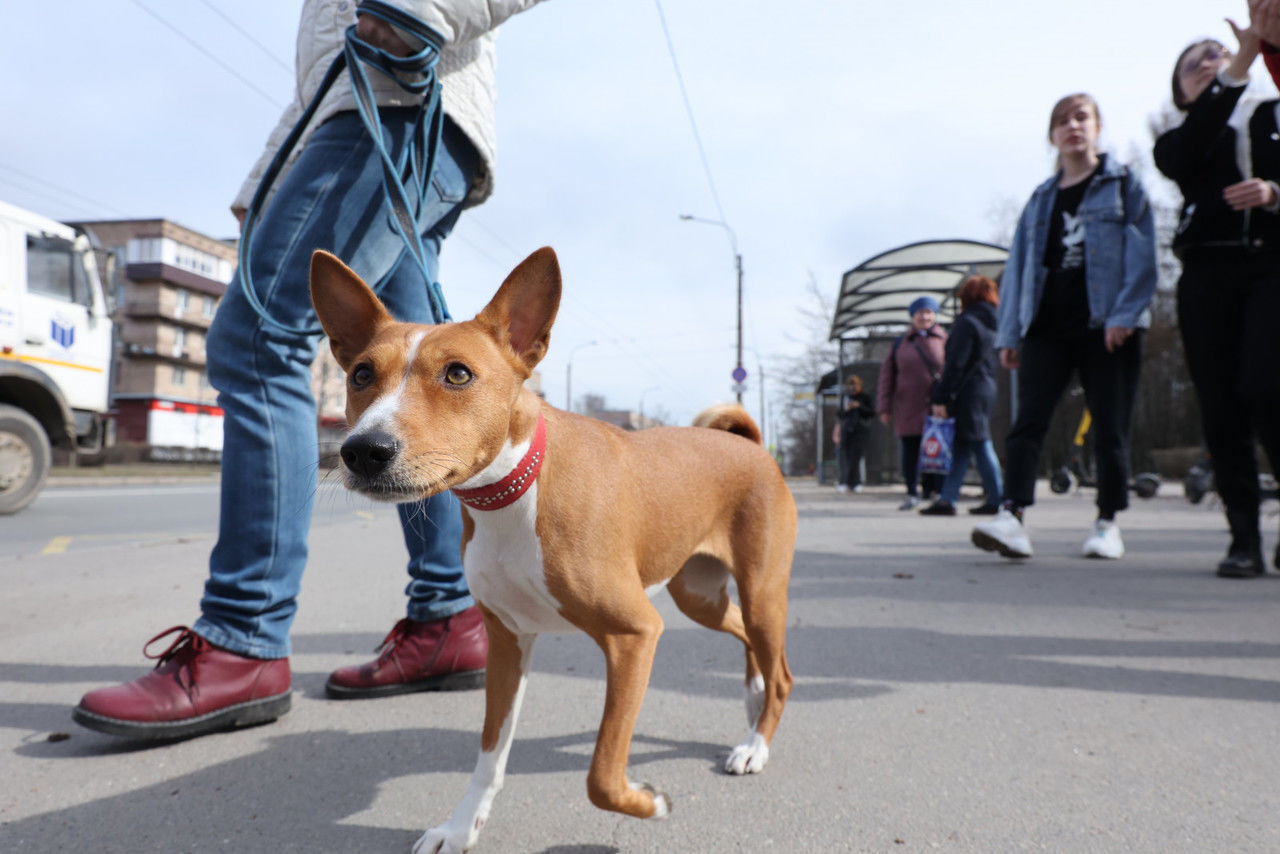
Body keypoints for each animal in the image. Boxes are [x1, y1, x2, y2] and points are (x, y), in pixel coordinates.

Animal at [309, 247, 793, 854]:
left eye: (458, 373)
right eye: (361, 375)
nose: (362, 450)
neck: (516, 492)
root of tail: (750, 446)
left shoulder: (635, 634)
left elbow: (602, 775)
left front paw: (649, 803)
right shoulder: (507, 641)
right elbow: (490, 757)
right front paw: (460, 826)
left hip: (761, 592)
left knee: (781, 672)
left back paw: (756, 742)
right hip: (698, 595)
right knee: (746, 638)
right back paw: (752, 701)